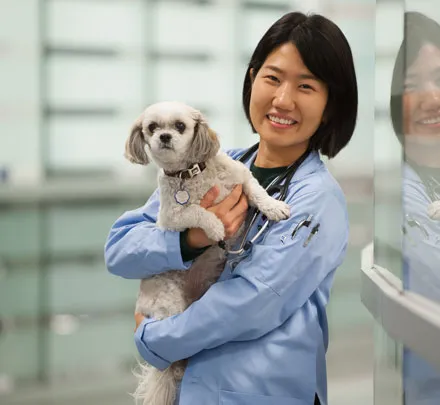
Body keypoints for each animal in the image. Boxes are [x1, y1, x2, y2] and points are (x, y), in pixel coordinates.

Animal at [124, 101, 288, 404]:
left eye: (180, 126)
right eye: (152, 127)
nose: (164, 137)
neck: (190, 173)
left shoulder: (243, 178)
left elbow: (258, 192)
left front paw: (274, 207)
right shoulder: (174, 216)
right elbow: (198, 212)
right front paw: (215, 226)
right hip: (170, 307)